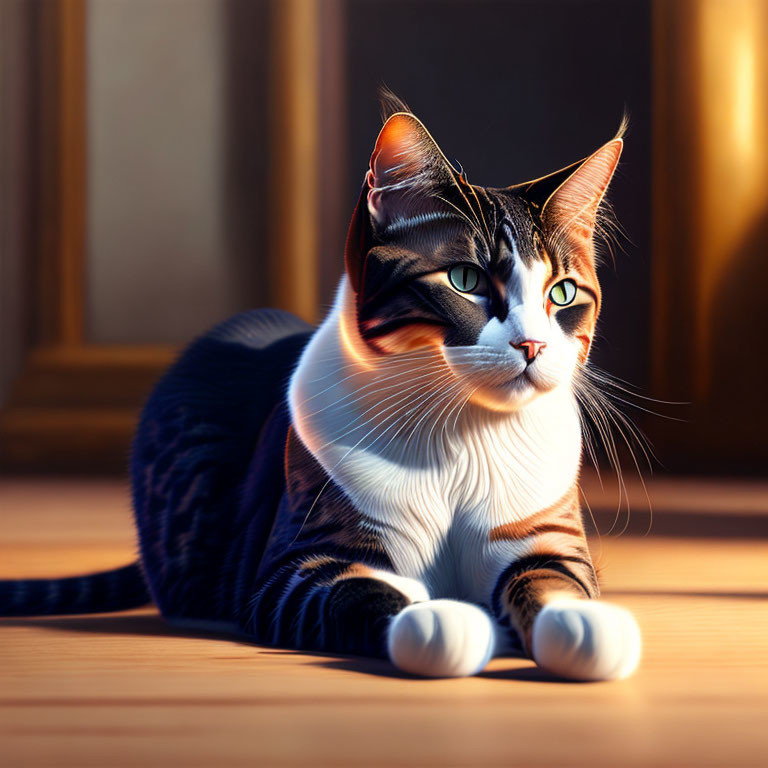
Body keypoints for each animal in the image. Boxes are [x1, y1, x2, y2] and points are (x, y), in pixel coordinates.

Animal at [0, 94, 640, 680]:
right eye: (466, 279)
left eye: (562, 293)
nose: (532, 346)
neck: (461, 439)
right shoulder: (299, 562)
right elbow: (364, 591)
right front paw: (441, 618)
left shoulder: (546, 535)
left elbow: (554, 580)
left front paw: (585, 627)